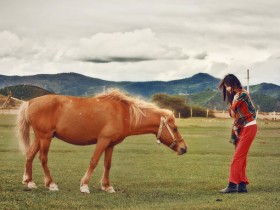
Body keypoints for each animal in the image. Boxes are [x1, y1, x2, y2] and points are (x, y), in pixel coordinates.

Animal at [17, 88, 188, 194]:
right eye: (174, 128)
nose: (184, 148)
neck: (124, 114)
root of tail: (30, 102)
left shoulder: (110, 144)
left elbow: (107, 164)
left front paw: (107, 186)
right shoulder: (102, 141)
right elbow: (94, 161)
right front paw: (85, 186)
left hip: (40, 137)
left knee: (30, 155)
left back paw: (30, 182)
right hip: (45, 137)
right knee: (43, 158)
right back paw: (51, 184)